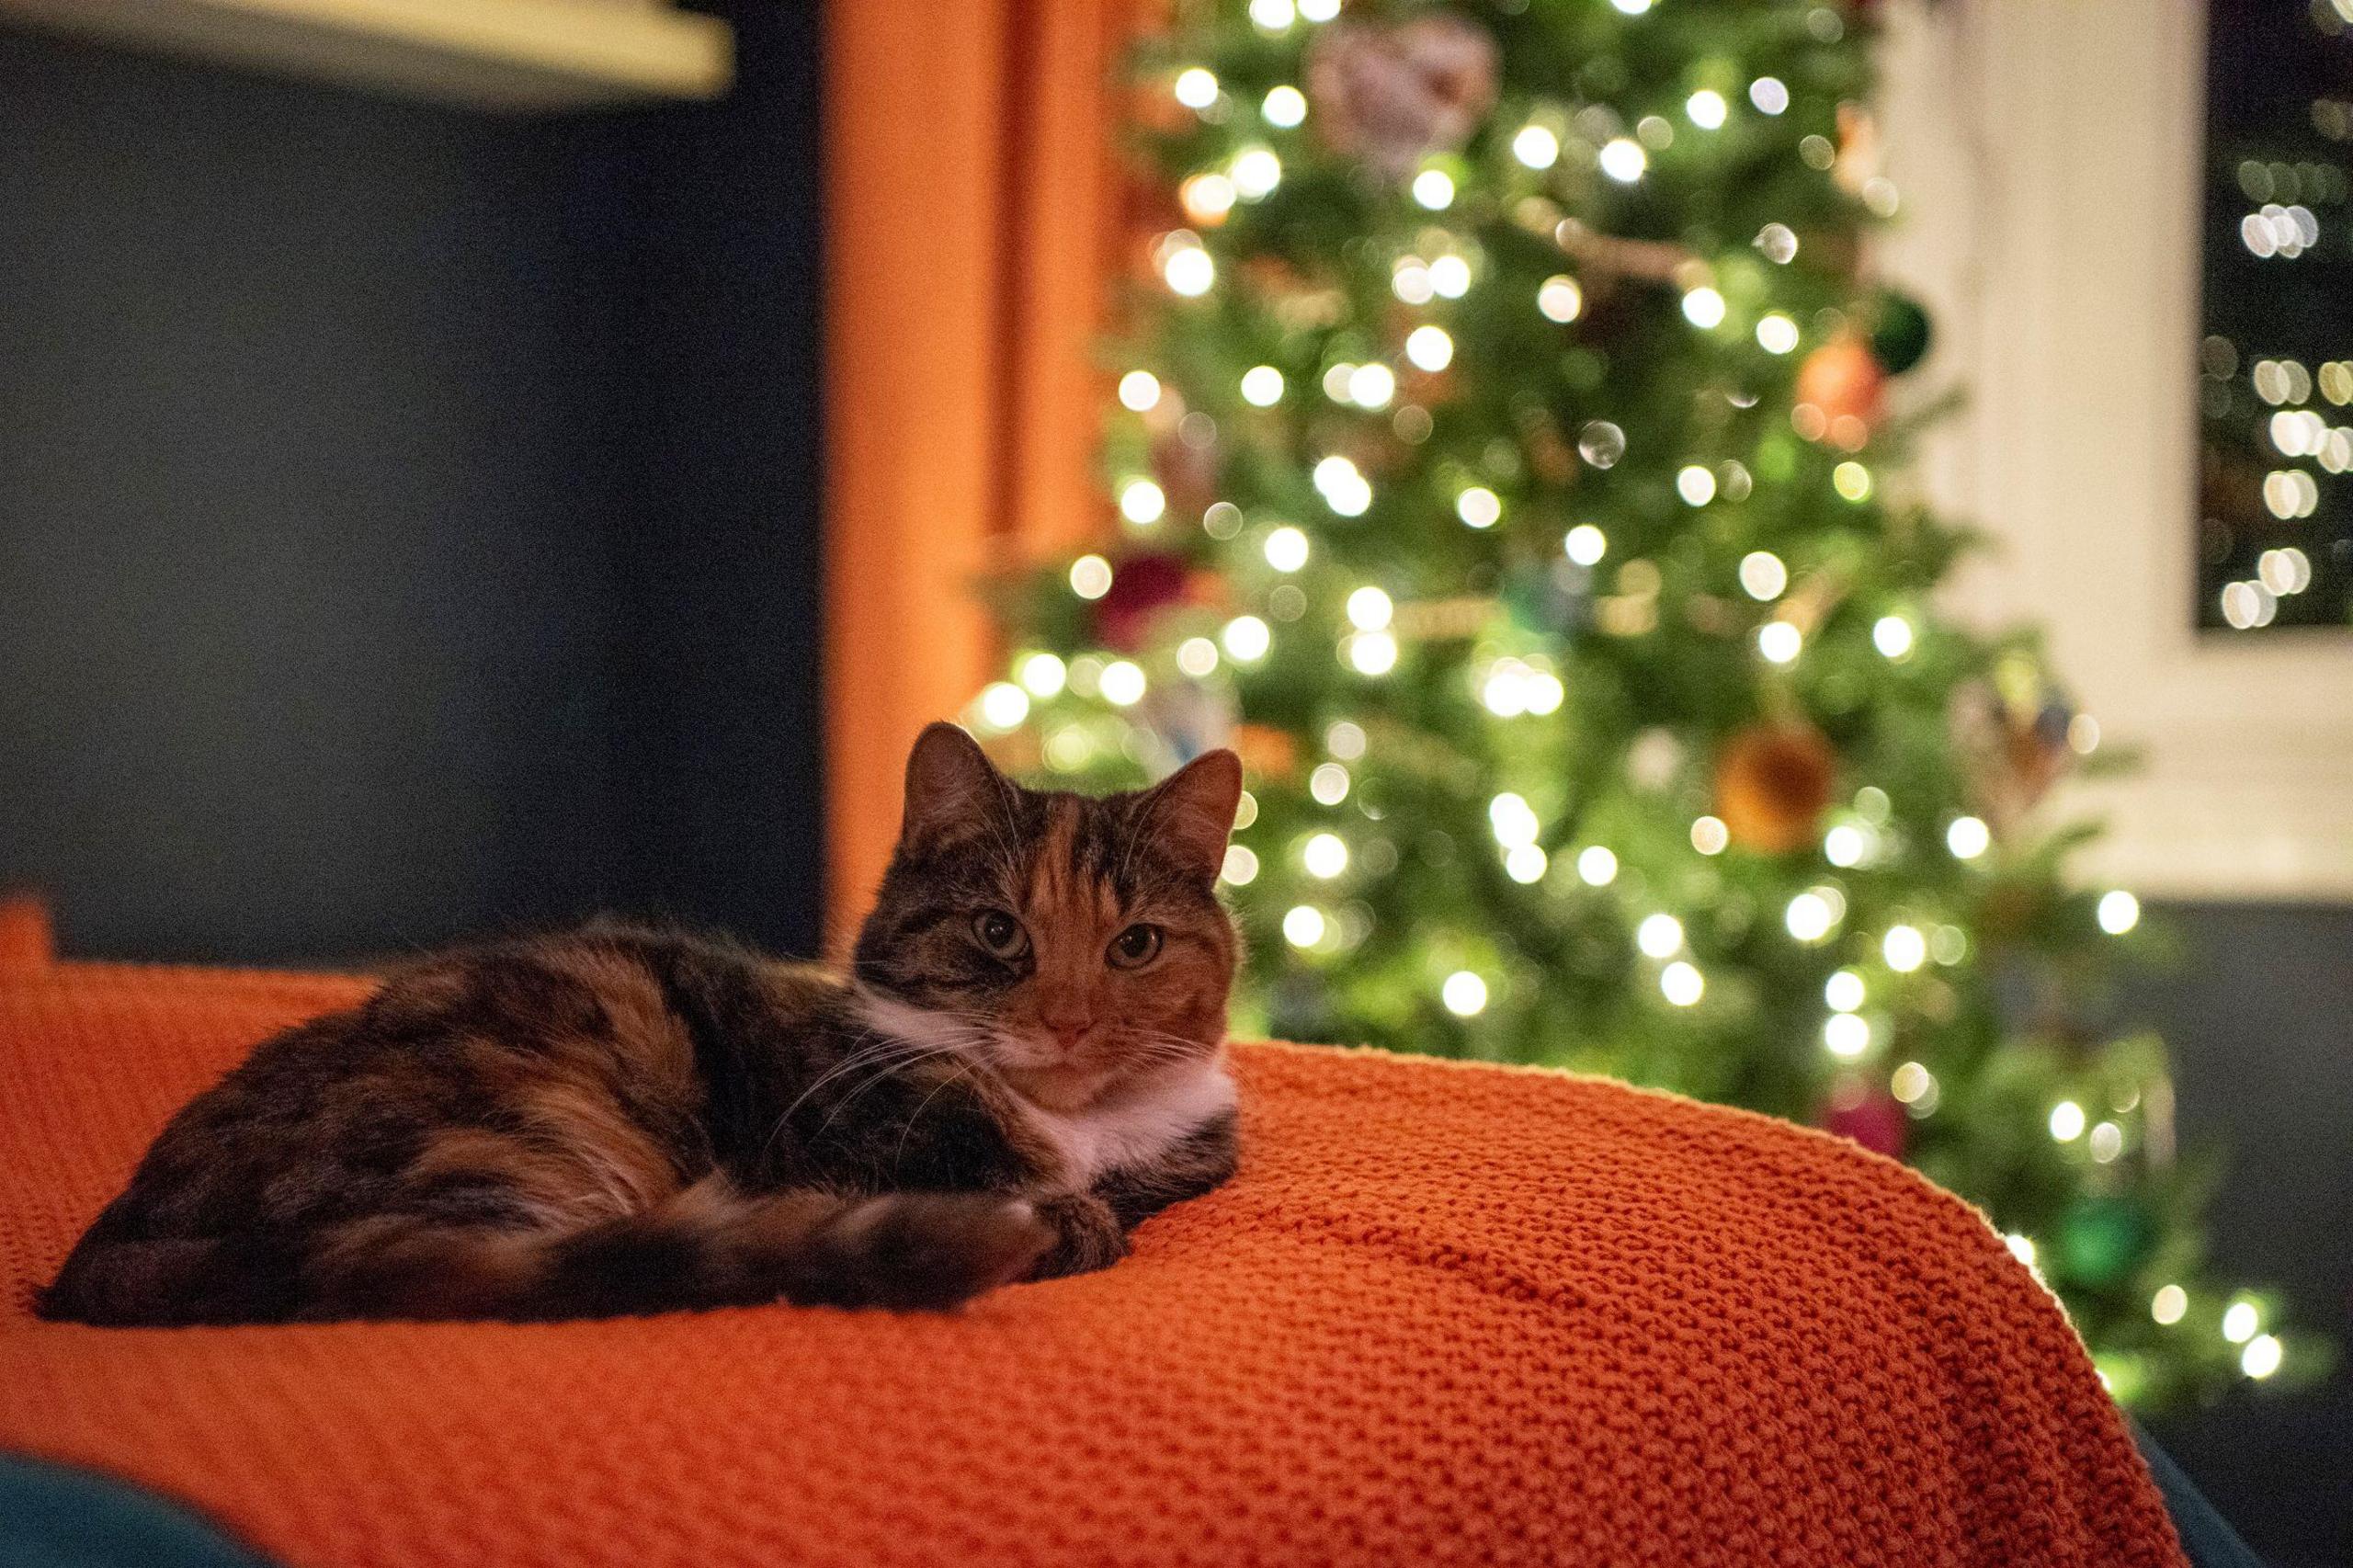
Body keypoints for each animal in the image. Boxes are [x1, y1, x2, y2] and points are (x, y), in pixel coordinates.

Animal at [37, 720, 1251, 1318]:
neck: (1076, 1127)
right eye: (999, 931)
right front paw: (1062, 1216)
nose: (1069, 1020)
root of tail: (113, 1245)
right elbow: (1065, 1210)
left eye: (1133, 944)